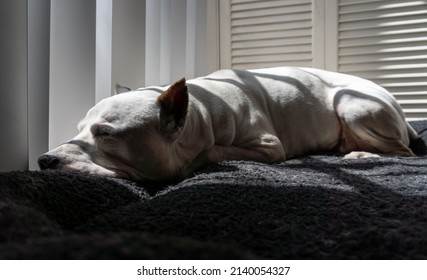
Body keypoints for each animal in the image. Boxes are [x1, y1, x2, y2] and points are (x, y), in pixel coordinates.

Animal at [38, 68, 420, 182]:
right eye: (77, 129)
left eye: (106, 134)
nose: (44, 159)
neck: (201, 111)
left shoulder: (268, 146)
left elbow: (214, 151)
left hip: (352, 105)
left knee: (404, 153)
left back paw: (360, 154)